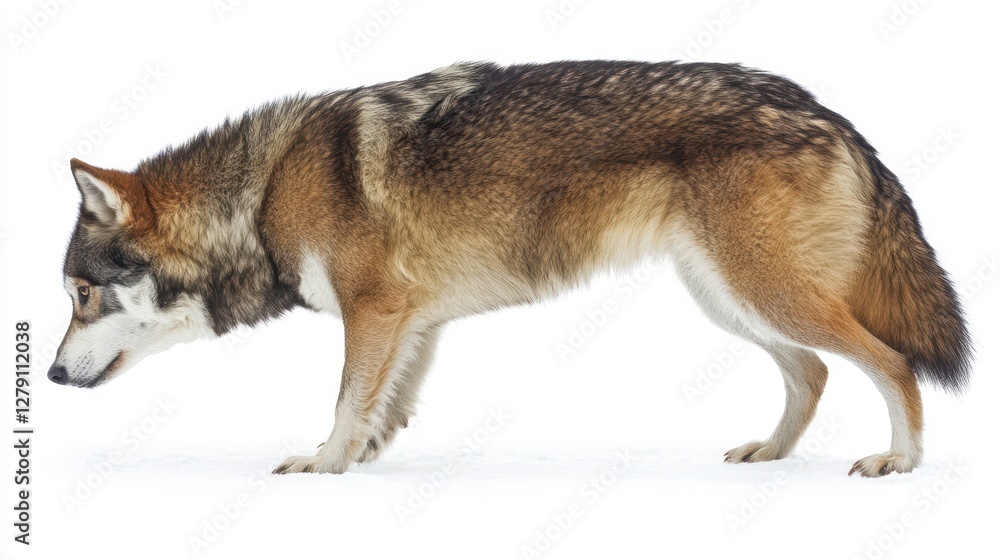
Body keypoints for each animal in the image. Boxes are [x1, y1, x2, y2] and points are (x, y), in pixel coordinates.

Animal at [49, 61, 972, 477]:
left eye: (83, 294)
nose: (50, 374)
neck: (263, 190)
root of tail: (825, 108)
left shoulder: (375, 309)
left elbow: (346, 398)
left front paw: (324, 466)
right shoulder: (411, 319)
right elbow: (385, 403)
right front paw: (362, 456)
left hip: (763, 292)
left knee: (891, 363)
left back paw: (899, 463)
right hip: (730, 299)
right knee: (815, 372)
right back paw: (771, 453)